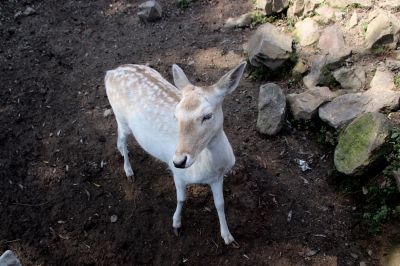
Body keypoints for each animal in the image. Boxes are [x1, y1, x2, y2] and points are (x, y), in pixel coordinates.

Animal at [104, 61, 245, 244]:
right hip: (121, 118)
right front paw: (176, 224)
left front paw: (228, 237)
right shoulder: (178, 175)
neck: (208, 167)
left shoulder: (217, 177)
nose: (179, 161)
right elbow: (181, 198)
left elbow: (220, 204)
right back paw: (129, 171)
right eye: (176, 115)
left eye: (208, 116)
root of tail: (110, 72)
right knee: (121, 139)